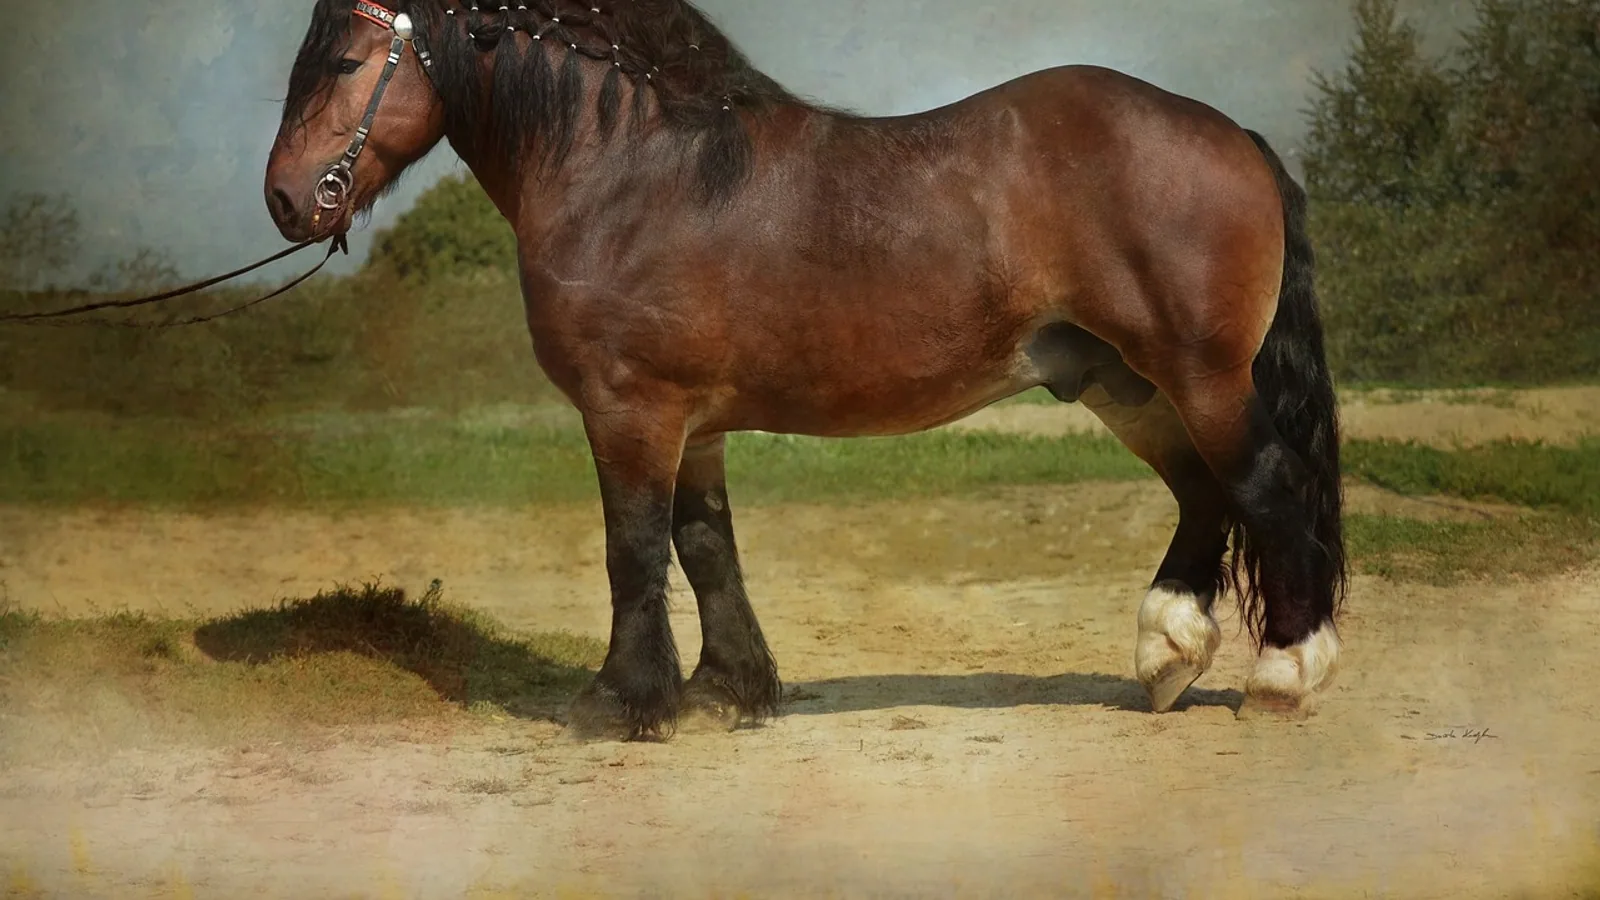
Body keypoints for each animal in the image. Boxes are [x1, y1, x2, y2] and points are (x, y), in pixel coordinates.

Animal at [264, 0, 1348, 741]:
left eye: (346, 56)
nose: (283, 197)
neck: (633, 168)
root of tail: (1231, 134)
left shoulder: (631, 410)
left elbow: (633, 550)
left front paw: (620, 700)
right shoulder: (693, 423)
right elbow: (705, 547)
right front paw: (724, 691)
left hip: (1198, 374)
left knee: (1264, 484)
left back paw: (1284, 676)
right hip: (1126, 383)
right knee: (1204, 493)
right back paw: (1167, 655)